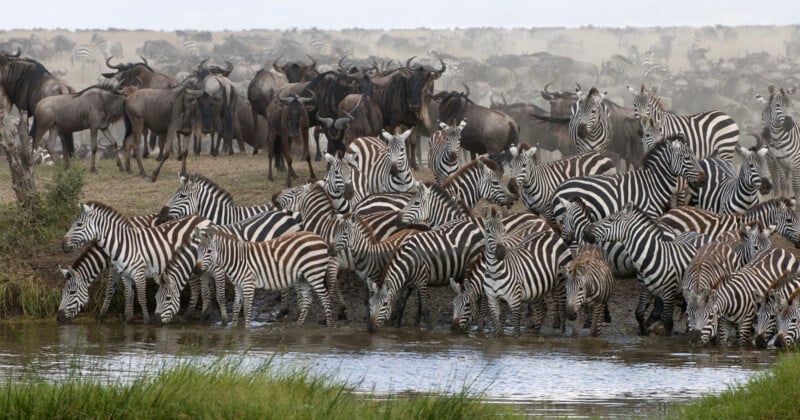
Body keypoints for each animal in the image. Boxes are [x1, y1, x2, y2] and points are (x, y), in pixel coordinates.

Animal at [61, 203, 209, 324]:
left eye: (72, 292)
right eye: (62, 292)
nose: (58, 317)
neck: (118, 243)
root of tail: (201, 218)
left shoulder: (125, 270)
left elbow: (113, 291)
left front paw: (102, 316)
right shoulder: (121, 271)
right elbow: (128, 294)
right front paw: (126, 317)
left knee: (198, 286)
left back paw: (191, 314)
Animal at [154, 210, 304, 324]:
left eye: (167, 298)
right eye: (155, 298)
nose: (156, 321)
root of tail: (286, 215)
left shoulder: (219, 272)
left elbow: (220, 296)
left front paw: (225, 319)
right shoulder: (205, 274)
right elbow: (205, 294)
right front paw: (204, 316)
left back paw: (289, 311)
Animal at [198, 228, 340, 330]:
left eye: (209, 251)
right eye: (198, 250)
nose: (197, 269)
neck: (236, 259)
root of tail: (319, 237)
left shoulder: (248, 284)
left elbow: (247, 308)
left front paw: (246, 330)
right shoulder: (237, 285)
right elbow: (236, 307)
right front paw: (233, 329)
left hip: (314, 273)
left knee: (326, 298)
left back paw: (330, 326)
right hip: (303, 277)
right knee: (307, 300)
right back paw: (298, 326)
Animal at [584, 202, 708, 336]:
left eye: (610, 220)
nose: (585, 231)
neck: (654, 255)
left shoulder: (669, 291)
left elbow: (668, 321)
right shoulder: (645, 287)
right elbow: (639, 312)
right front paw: (644, 333)